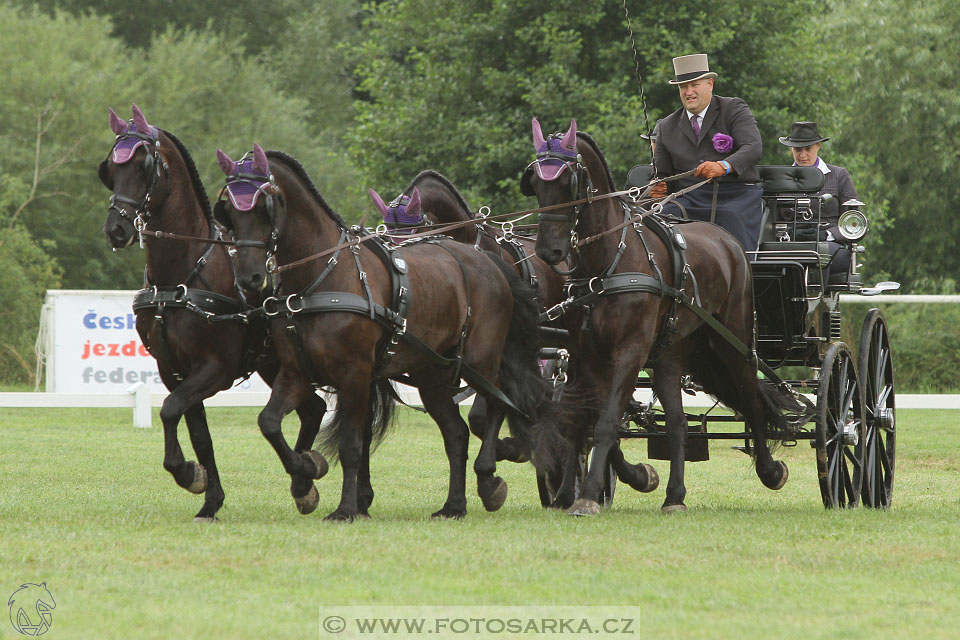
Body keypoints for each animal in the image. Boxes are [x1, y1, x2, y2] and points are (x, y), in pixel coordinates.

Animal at [99, 105, 328, 520]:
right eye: (111, 166)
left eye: (144, 165)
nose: (116, 228)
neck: (184, 274)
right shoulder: (174, 369)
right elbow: (198, 433)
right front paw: (209, 497)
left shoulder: (214, 369)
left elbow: (170, 410)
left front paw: (189, 474)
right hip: (274, 363)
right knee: (313, 409)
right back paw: (303, 480)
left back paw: (304, 475)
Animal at [217, 145, 544, 520]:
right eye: (228, 210)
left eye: (264, 205)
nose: (249, 277)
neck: (322, 278)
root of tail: (489, 262)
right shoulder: (296, 372)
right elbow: (269, 422)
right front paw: (306, 474)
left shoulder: (355, 375)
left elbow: (351, 445)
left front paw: (346, 508)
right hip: (432, 374)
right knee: (456, 433)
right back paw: (454, 505)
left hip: (481, 360)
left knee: (494, 406)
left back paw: (488, 479)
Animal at [520, 119, 808, 516]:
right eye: (534, 183)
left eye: (569, 182)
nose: (549, 251)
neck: (607, 263)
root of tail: (726, 239)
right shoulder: (586, 353)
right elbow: (587, 418)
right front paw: (602, 485)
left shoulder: (630, 350)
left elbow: (607, 420)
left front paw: (589, 494)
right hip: (670, 354)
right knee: (677, 422)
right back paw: (675, 496)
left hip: (733, 341)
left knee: (751, 400)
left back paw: (769, 470)